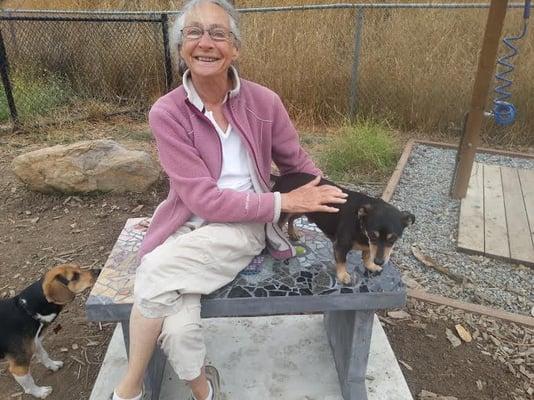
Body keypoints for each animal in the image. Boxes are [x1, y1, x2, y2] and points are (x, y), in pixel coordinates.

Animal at [0, 264, 100, 398]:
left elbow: (44, 355)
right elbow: (29, 383)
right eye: (74, 276)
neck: (24, 310)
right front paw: (39, 392)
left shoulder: (35, 342)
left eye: (79, 267)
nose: (99, 270)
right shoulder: (19, 366)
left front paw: (53, 366)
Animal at [274, 172, 416, 284]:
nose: (379, 262)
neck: (360, 224)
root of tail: (281, 178)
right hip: (286, 211)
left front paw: (371, 266)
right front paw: (343, 276)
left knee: (291, 219)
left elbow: (366, 256)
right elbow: (342, 261)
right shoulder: (340, 246)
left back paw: (293, 233)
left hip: (302, 208)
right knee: (280, 223)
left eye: (393, 239)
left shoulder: (368, 246)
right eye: (372, 235)